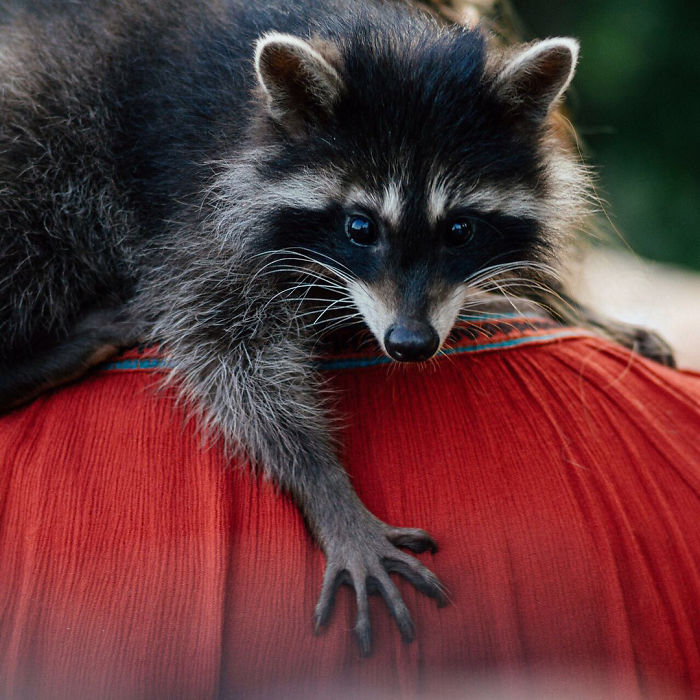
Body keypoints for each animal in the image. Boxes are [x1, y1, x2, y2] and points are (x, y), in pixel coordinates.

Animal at [0, 0, 672, 653]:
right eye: (359, 227)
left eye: (460, 230)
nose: (410, 344)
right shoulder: (205, 205)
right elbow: (224, 346)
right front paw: (323, 483)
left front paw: (572, 305)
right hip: (50, 126)